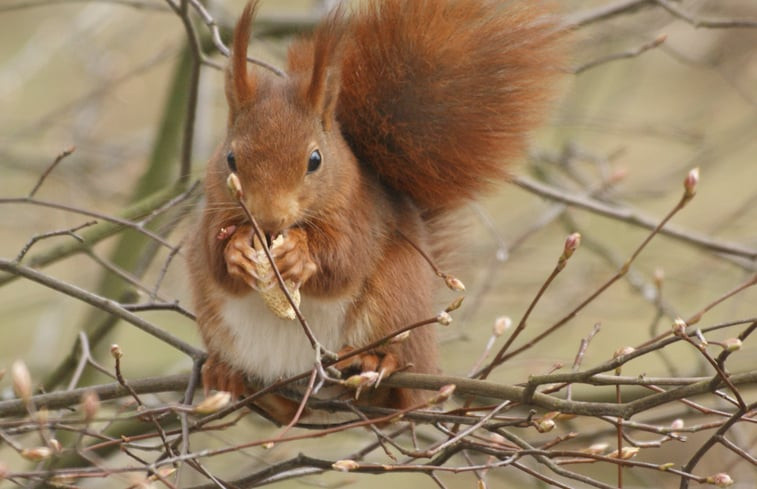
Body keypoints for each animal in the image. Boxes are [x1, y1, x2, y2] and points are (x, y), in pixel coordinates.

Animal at [186, 0, 564, 420]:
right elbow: (213, 258)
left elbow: (343, 261)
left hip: (395, 301)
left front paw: (300, 255)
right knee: (281, 406)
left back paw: (376, 362)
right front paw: (236, 251)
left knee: (394, 387)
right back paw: (228, 375)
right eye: (230, 158)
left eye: (315, 159)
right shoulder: (212, 213)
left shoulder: (358, 216)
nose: (268, 218)